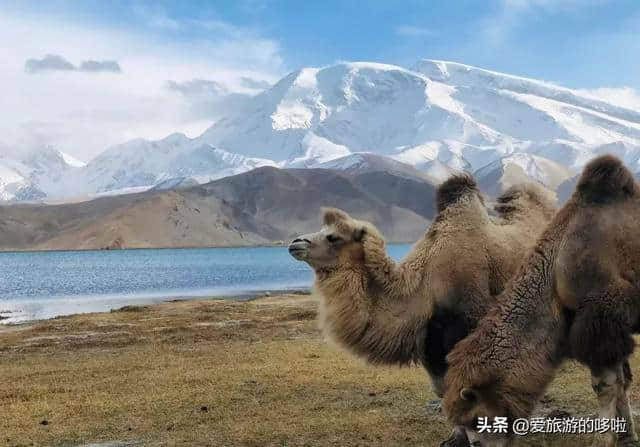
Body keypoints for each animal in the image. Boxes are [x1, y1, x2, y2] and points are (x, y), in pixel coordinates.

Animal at [288, 176, 556, 447]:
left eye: (333, 237)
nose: (295, 243)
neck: (427, 285)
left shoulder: (467, 326)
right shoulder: (430, 339)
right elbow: (443, 388)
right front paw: (455, 437)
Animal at [442, 155, 640, 447]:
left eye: (476, 421)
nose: (475, 443)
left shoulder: (599, 317)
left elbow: (604, 385)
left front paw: (603, 439)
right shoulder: (611, 328)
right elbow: (622, 380)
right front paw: (627, 434)